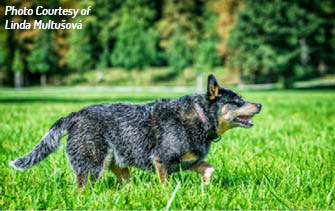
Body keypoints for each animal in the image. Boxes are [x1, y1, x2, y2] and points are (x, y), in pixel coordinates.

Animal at [8, 74, 262, 188]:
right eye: (237, 100)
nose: (259, 104)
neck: (200, 117)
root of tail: (76, 114)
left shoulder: (189, 161)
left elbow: (209, 168)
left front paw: (206, 186)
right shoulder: (163, 160)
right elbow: (165, 185)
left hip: (118, 163)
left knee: (125, 183)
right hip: (92, 166)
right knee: (81, 188)